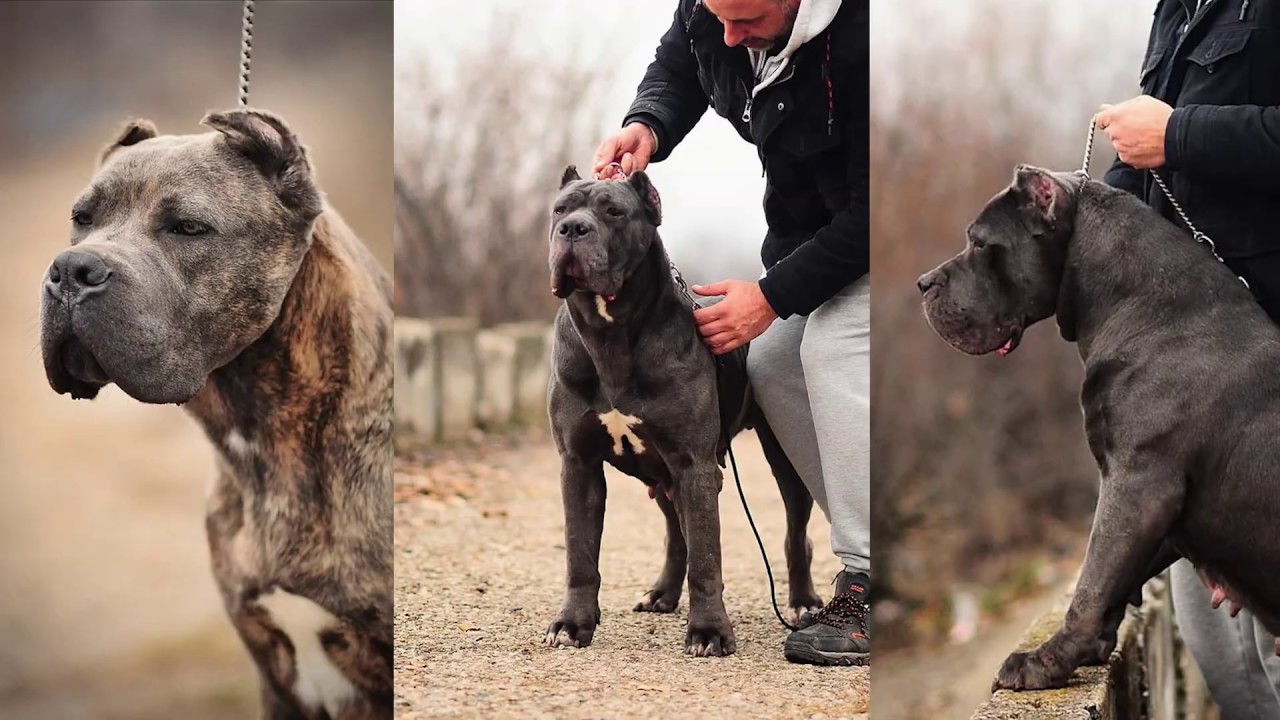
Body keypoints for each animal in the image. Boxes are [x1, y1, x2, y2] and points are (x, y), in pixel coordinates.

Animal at [916, 163, 1280, 691]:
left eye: (981, 243)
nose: (923, 283)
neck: (1149, 311)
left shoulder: (1137, 485)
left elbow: (1092, 581)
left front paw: (1043, 662)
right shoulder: (1158, 509)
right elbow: (1115, 581)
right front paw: (1086, 650)